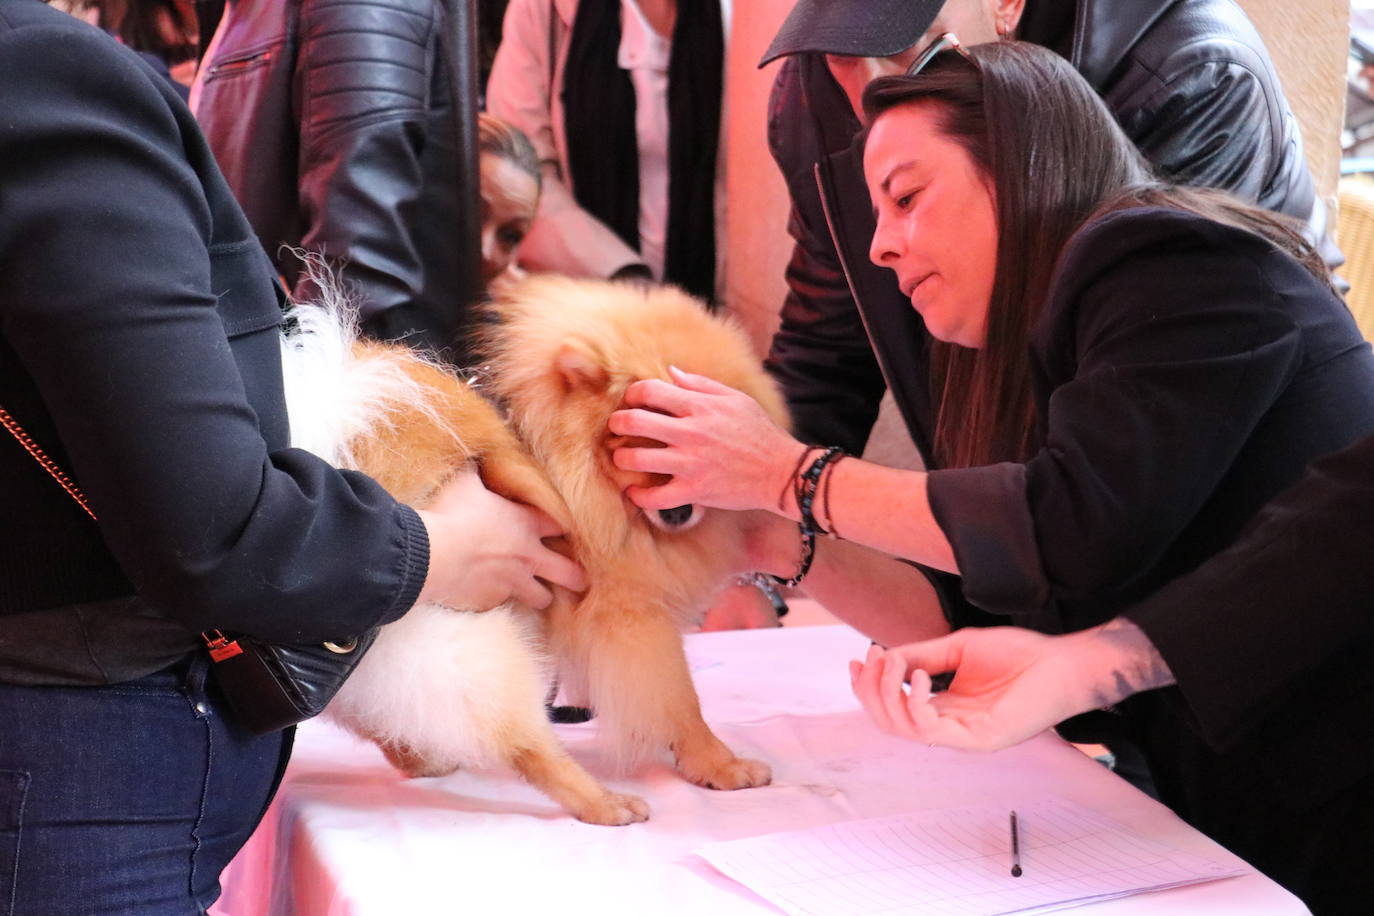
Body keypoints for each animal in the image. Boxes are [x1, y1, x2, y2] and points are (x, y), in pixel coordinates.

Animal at [284, 276, 785, 829]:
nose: (678, 514)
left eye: (687, 450)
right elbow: (679, 702)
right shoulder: (632, 617)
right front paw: (719, 765)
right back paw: (603, 801)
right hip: (464, 642)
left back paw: (425, 759)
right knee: (520, 740)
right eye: (631, 442)